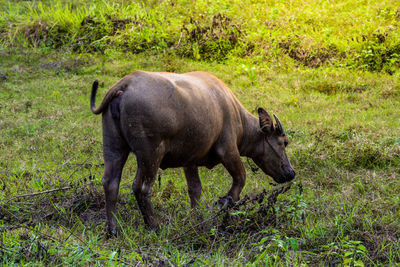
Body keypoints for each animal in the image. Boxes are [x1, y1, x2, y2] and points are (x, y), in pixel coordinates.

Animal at [92, 71, 296, 237]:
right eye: (284, 142)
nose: (291, 172)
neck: (234, 113)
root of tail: (126, 83)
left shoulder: (189, 160)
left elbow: (195, 189)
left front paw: (196, 217)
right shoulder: (228, 149)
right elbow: (241, 177)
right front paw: (225, 202)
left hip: (113, 146)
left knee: (110, 182)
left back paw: (113, 230)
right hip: (151, 154)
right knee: (141, 187)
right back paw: (154, 226)